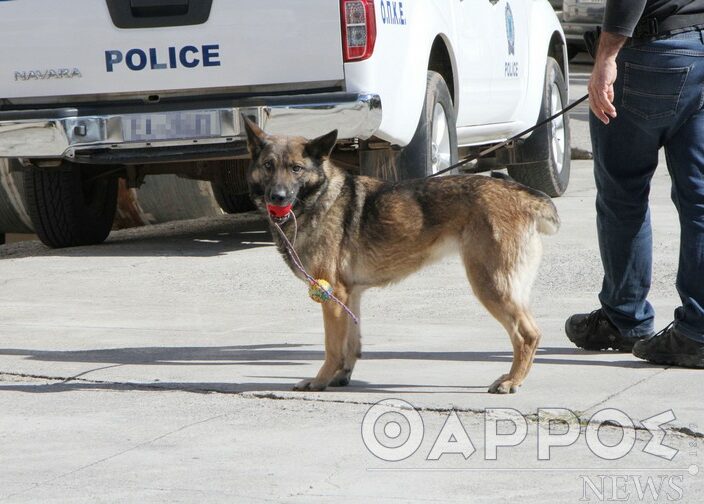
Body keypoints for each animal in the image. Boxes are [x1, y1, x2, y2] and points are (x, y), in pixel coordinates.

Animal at [245, 117, 560, 394]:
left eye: (296, 168)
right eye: (269, 166)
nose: (277, 196)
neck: (319, 197)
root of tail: (522, 195)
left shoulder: (331, 297)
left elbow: (332, 347)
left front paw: (319, 381)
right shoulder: (349, 297)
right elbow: (350, 346)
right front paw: (339, 377)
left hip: (490, 285)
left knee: (527, 335)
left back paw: (512, 381)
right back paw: (512, 377)